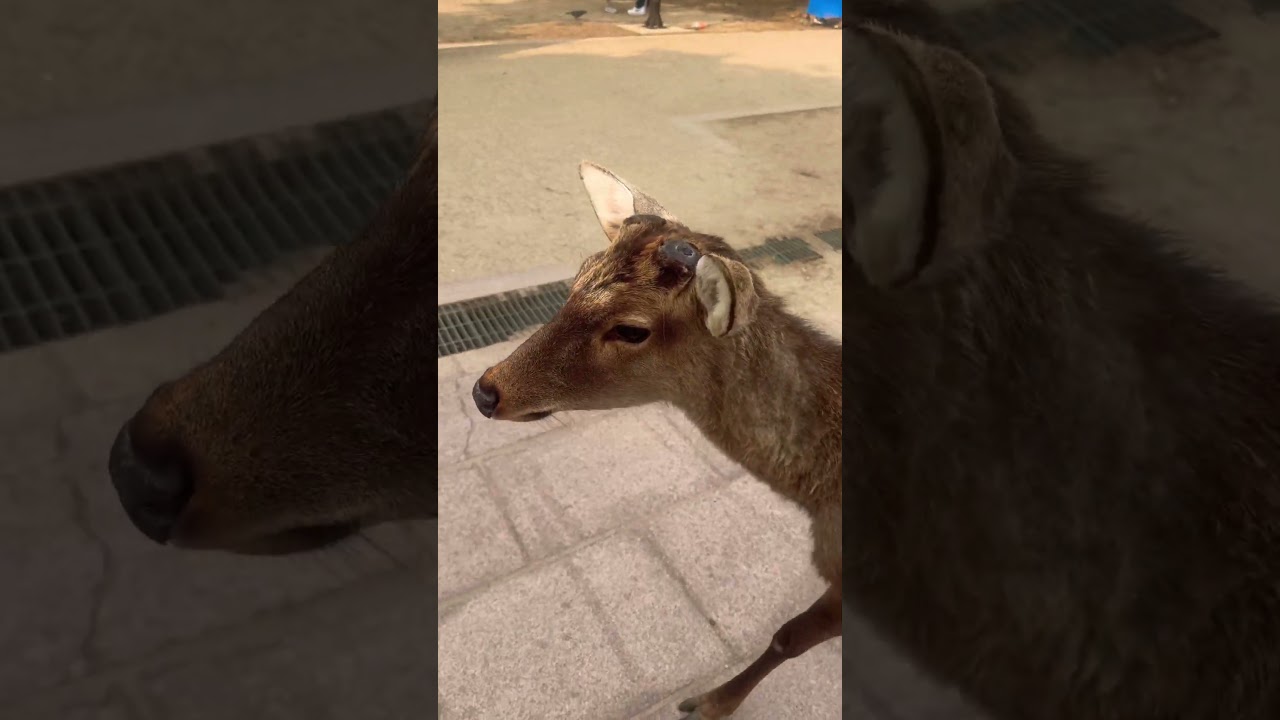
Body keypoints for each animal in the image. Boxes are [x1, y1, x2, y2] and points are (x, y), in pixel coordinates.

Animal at [470, 162, 843, 718]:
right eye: (580, 275)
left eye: (631, 329)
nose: (486, 389)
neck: (821, 502)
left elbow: (787, 637)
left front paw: (708, 705)